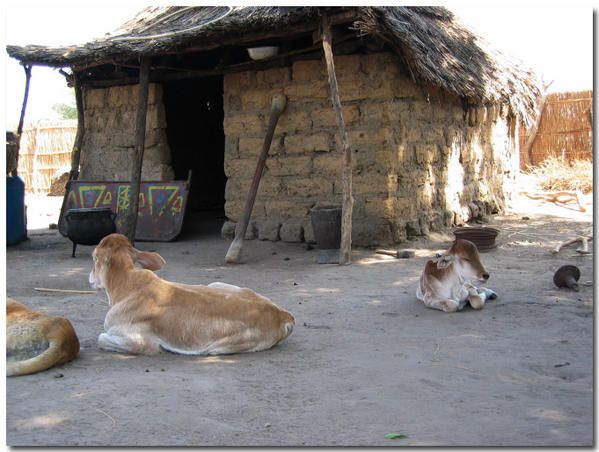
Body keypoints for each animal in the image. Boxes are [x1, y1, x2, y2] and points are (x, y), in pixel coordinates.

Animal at [89, 233, 296, 356]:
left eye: (94, 257)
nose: (90, 277)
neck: (127, 286)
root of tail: (283, 315)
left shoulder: (140, 342)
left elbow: (101, 338)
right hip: (217, 284)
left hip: (217, 348)